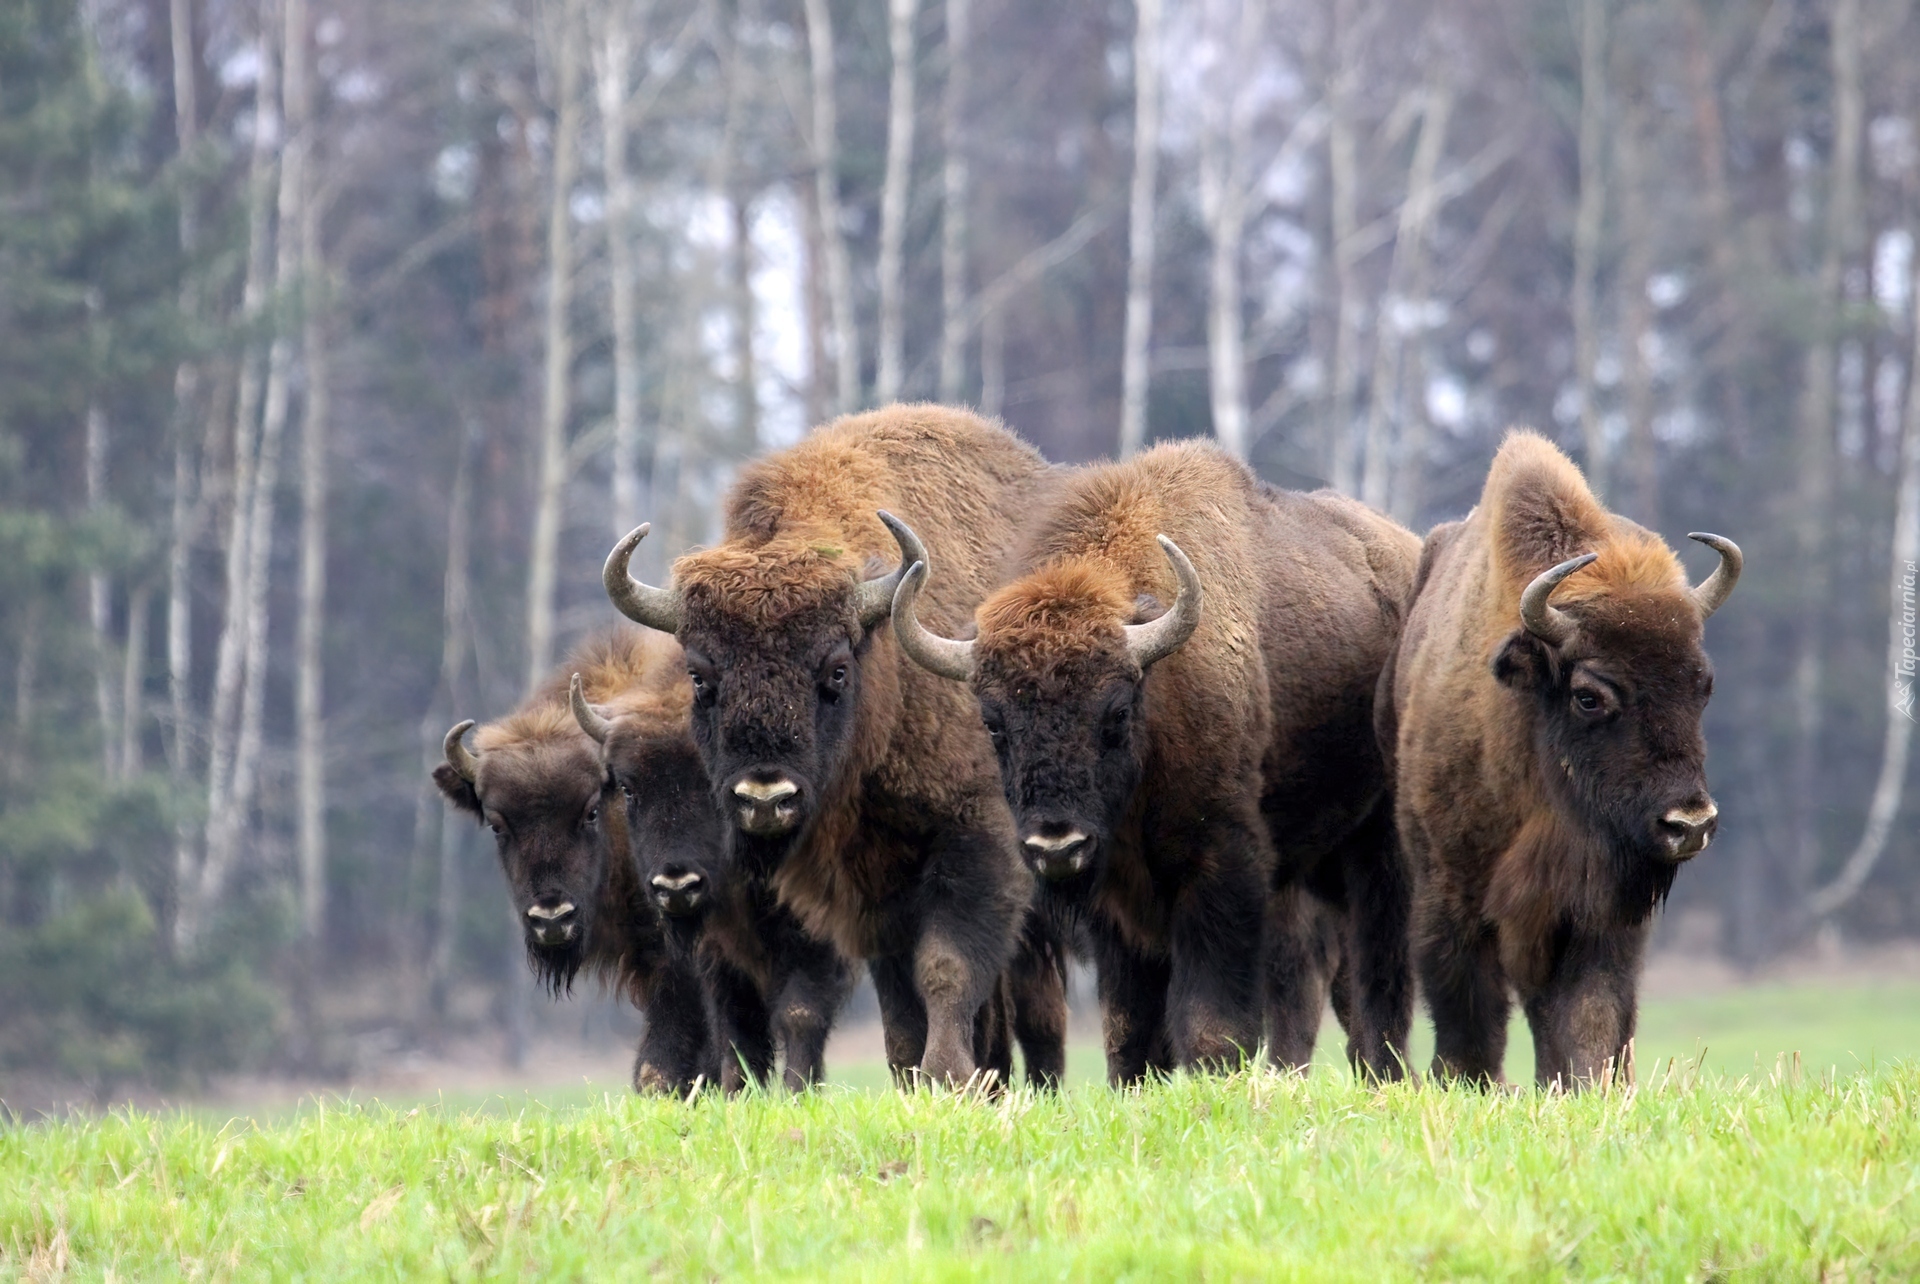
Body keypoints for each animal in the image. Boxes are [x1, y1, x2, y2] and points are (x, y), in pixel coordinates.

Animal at [560, 671, 848, 1090]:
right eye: (628, 789)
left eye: (712, 782)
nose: (677, 886)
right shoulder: (717, 953)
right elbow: (736, 1031)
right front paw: (737, 1095)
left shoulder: (814, 937)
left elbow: (800, 1012)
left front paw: (798, 1091)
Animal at [599, 404, 1067, 1090]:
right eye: (700, 677)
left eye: (837, 670)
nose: (766, 797)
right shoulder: (870, 897)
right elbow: (902, 1006)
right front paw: (915, 1078)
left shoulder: (979, 843)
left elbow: (947, 968)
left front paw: (946, 1077)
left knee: (1038, 1004)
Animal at [890, 441, 1420, 1082]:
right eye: (993, 722)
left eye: (1116, 712)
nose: (1056, 846)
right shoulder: (1117, 907)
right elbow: (1130, 1029)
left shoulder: (1220, 869)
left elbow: (1211, 1023)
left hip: (1377, 849)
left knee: (1378, 970)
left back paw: (1386, 1070)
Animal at [1382, 428, 1743, 1082]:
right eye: (1588, 695)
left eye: (1702, 684)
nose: (1690, 824)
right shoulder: (1450, 896)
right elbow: (1468, 1012)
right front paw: (1466, 1082)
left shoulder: (1596, 913)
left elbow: (1590, 1013)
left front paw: (1587, 1085)